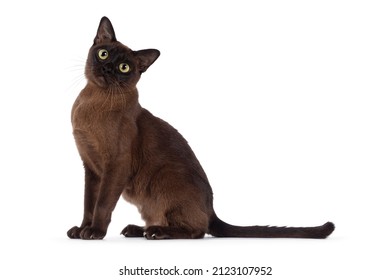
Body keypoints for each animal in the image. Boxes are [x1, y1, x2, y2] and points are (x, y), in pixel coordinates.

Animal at [67, 17, 336, 241]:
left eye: (124, 68)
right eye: (103, 54)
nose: (107, 69)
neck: (93, 103)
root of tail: (212, 208)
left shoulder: (115, 166)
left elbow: (102, 204)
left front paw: (95, 232)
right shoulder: (92, 169)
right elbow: (88, 204)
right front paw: (81, 230)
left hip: (165, 177)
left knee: (197, 230)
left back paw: (155, 233)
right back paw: (137, 229)